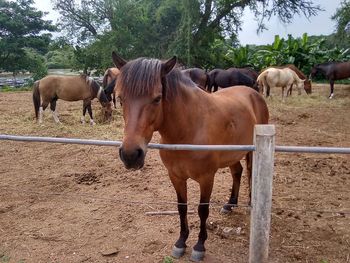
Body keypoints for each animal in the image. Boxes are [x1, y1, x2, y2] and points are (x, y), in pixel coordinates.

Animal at [112, 51, 268, 262]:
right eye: (121, 99)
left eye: (157, 98)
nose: (130, 155)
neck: (188, 131)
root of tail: (254, 93)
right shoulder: (176, 177)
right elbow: (182, 207)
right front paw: (181, 242)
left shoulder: (207, 178)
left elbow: (202, 210)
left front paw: (199, 246)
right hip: (232, 154)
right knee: (237, 172)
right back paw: (230, 204)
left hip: (251, 152)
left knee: (250, 174)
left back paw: (250, 204)